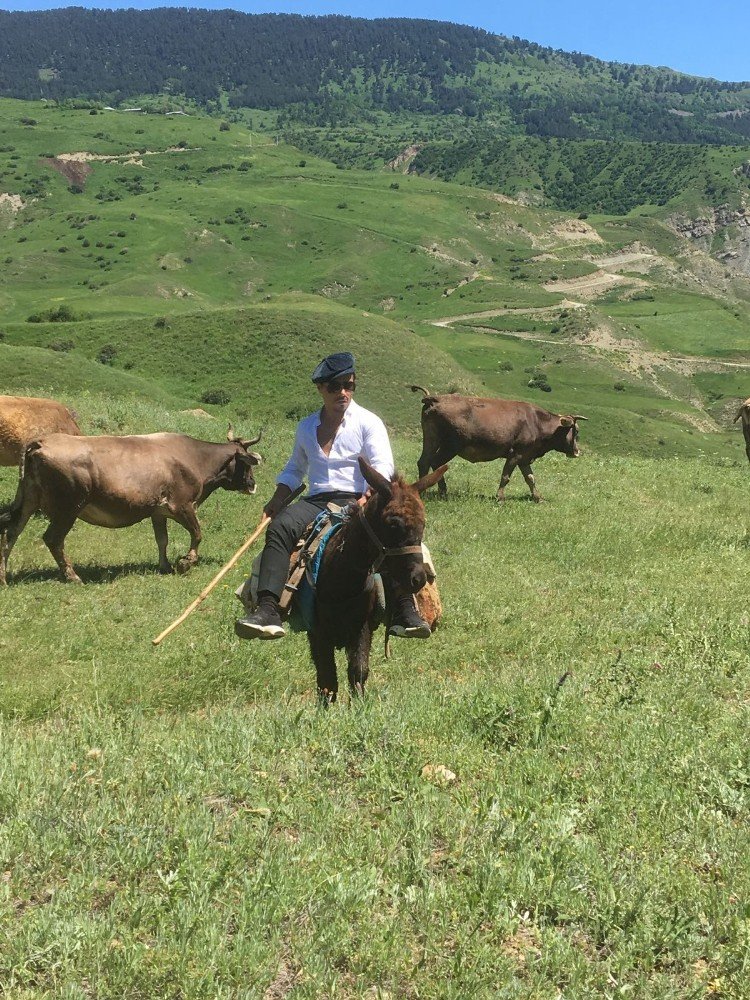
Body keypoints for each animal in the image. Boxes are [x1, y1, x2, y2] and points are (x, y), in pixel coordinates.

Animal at [408, 386, 592, 504]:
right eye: (576, 431)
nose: (577, 452)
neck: (537, 422)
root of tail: (436, 399)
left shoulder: (525, 457)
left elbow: (530, 478)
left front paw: (538, 498)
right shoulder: (516, 454)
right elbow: (506, 476)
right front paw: (500, 498)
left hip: (431, 438)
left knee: (424, 462)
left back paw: (423, 492)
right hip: (451, 445)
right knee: (436, 462)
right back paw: (442, 492)